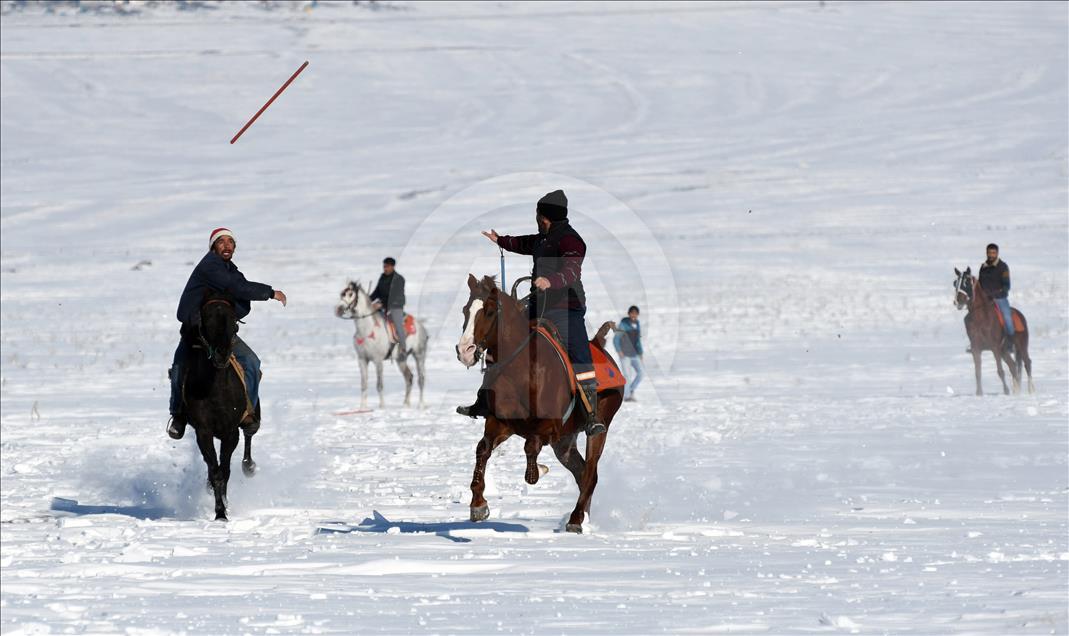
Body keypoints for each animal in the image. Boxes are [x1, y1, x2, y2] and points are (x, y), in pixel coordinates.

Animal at [183, 290, 258, 519]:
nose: (221, 354)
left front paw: (224, 507)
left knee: (250, 432)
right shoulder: (203, 431)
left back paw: (249, 466)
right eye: (206, 319)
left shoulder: (230, 431)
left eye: (233, 320)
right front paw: (220, 513)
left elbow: (225, 471)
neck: (215, 390)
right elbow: (215, 471)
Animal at [337, 282, 429, 410]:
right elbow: (364, 384)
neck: (367, 330)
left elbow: (379, 385)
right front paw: (362, 408)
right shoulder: (362, 359)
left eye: (351, 294)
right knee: (409, 378)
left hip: (419, 355)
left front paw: (382, 406)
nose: (339, 309)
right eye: (342, 293)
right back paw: (406, 404)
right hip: (401, 359)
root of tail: (421, 327)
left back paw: (421, 404)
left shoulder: (378, 360)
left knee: (421, 379)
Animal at [453, 273, 624, 532]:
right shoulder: (501, 422)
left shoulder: (548, 426)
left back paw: (575, 520)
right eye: (465, 310)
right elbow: (482, 449)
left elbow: (530, 448)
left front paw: (539, 471)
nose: (465, 350)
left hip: (599, 427)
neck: (522, 370)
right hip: (565, 441)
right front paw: (478, 505)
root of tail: (599, 345)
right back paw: (583, 516)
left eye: (490, 312)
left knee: (590, 473)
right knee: (581, 471)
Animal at [953, 266, 1034, 395]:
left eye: (967, 282)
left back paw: (1031, 390)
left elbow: (1000, 371)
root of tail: (1020, 315)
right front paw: (979, 393)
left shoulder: (994, 347)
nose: (958, 301)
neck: (980, 318)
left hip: (1021, 346)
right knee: (1013, 366)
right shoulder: (976, 349)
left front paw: (1006, 391)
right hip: (1004, 351)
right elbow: (978, 372)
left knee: (1027, 363)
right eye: (955, 283)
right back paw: (1016, 391)